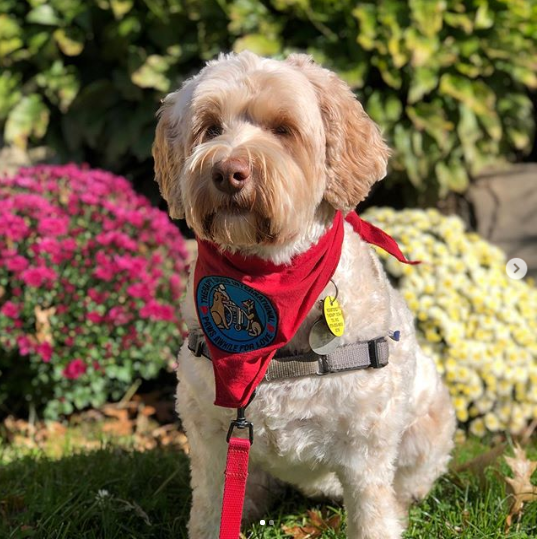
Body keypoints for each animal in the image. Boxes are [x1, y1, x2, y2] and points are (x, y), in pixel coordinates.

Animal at [153, 50, 454, 539]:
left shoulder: (366, 446)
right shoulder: (209, 437)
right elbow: (211, 510)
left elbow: (373, 517)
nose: (227, 172)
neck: (269, 275)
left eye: (283, 128)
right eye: (211, 128)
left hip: (430, 424)